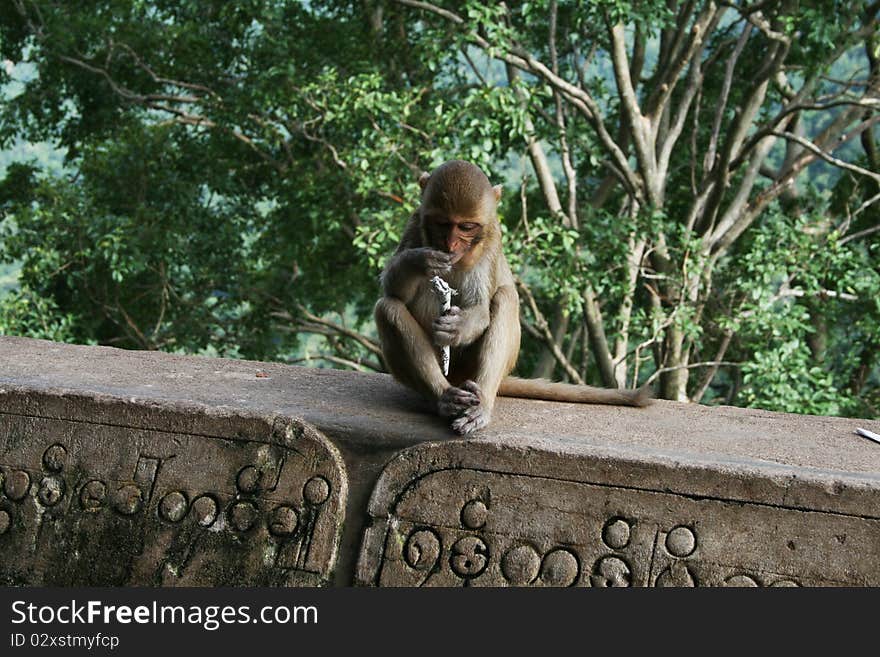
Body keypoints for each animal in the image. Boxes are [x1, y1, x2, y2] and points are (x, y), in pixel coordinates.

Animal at [374, 160, 648, 436]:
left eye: (466, 227)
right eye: (442, 223)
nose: (451, 245)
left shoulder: (492, 239)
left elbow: (480, 309)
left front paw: (457, 328)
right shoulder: (414, 223)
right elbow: (394, 291)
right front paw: (419, 261)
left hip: (476, 369)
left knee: (505, 298)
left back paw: (482, 403)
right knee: (388, 308)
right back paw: (444, 398)